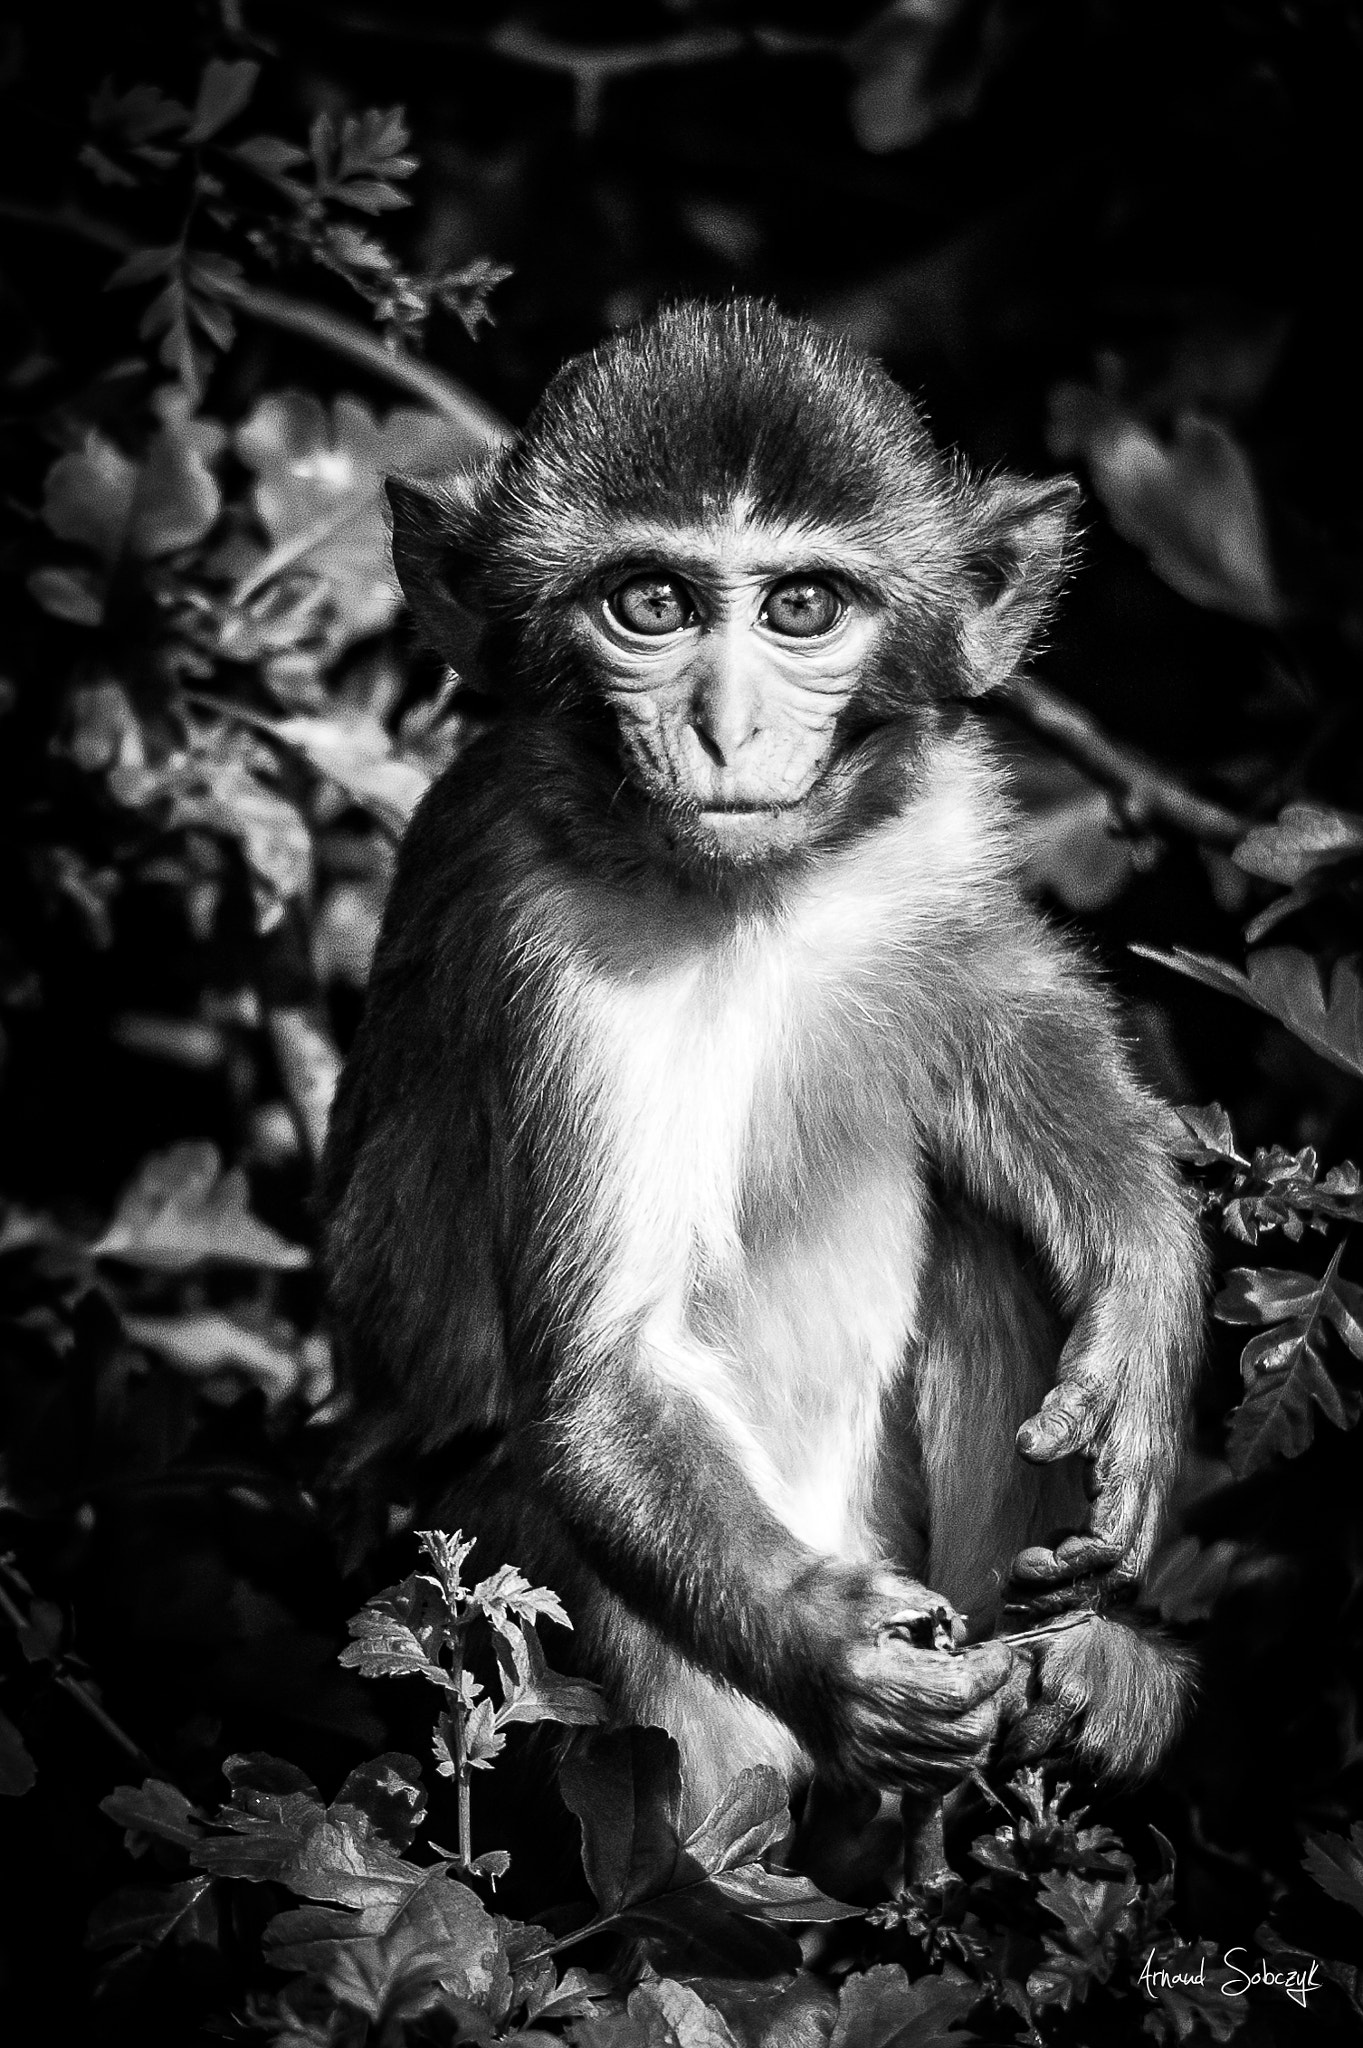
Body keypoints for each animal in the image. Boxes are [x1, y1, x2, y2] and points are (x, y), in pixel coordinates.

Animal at [320, 298, 1204, 1830]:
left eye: (801, 608)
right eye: (650, 603)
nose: (727, 729)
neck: (748, 892)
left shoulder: (926, 828)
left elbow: (1005, 1017)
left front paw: (1144, 1292)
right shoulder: (547, 952)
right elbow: (604, 1385)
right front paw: (843, 1663)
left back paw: (1086, 1660)